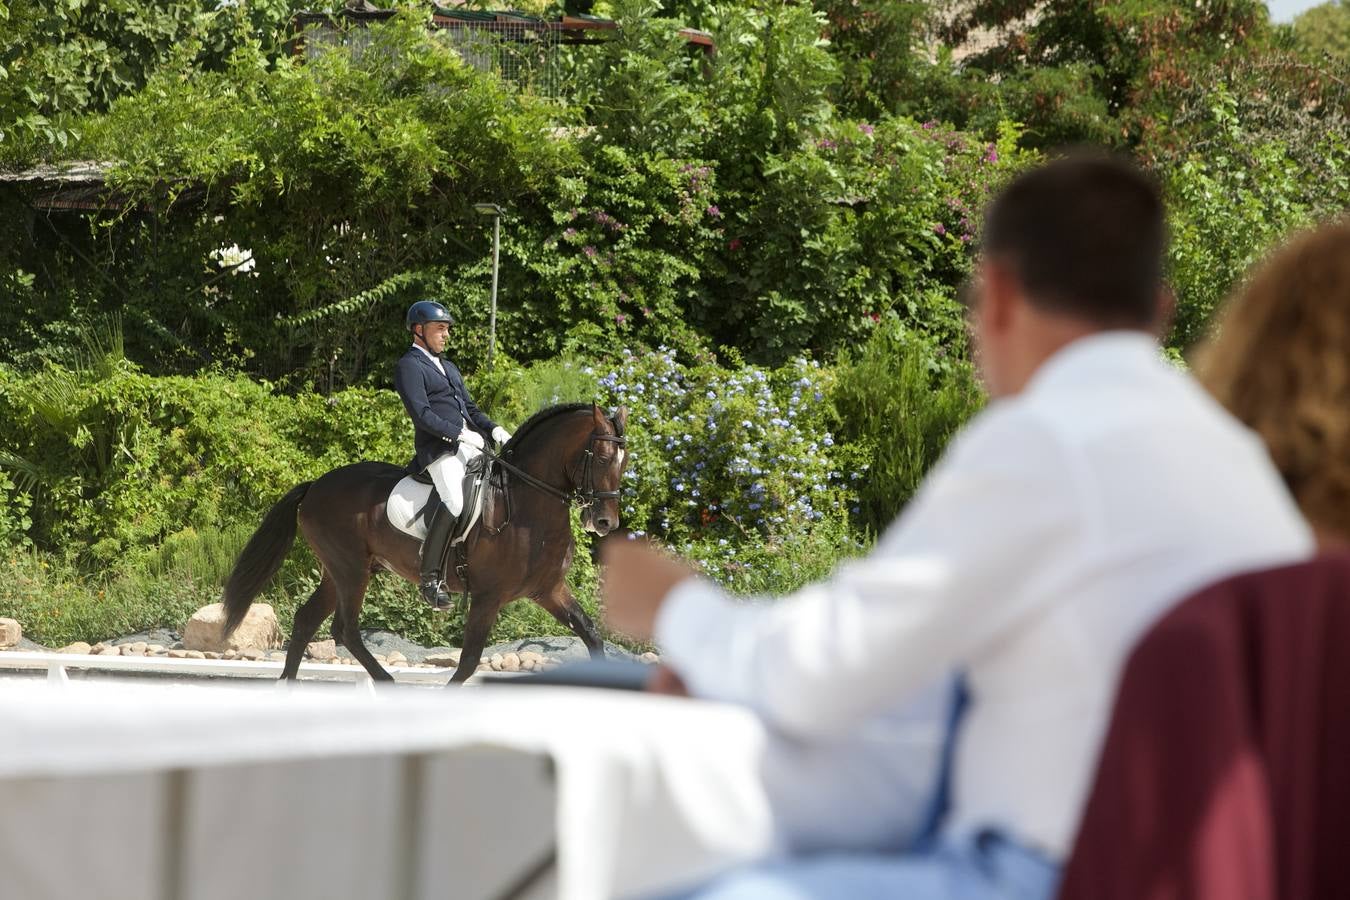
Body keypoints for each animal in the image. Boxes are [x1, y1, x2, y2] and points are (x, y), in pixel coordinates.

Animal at [220, 402, 626, 682]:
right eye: (602, 457)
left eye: (624, 461)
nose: (605, 522)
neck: (528, 506)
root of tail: (316, 485)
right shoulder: (487, 597)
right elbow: (468, 662)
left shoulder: (548, 590)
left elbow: (591, 635)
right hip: (350, 570)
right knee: (345, 629)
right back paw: (386, 683)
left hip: (341, 572)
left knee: (307, 621)